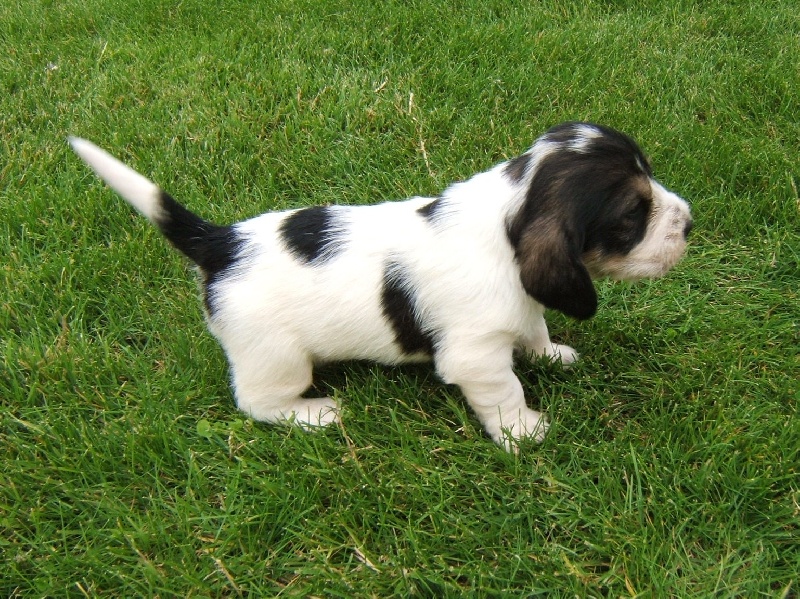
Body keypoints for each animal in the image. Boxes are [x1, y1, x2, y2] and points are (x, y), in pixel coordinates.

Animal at [70, 122, 692, 450]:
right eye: (632, 215)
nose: (689, 223)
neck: (505, 219)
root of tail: (221, 243)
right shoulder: (476, 357)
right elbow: (506, 391)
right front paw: (523, 432)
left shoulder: (521, 307)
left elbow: (534, 326)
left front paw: (551, 354)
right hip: (276, 360)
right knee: (256, 403)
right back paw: (316, 414)